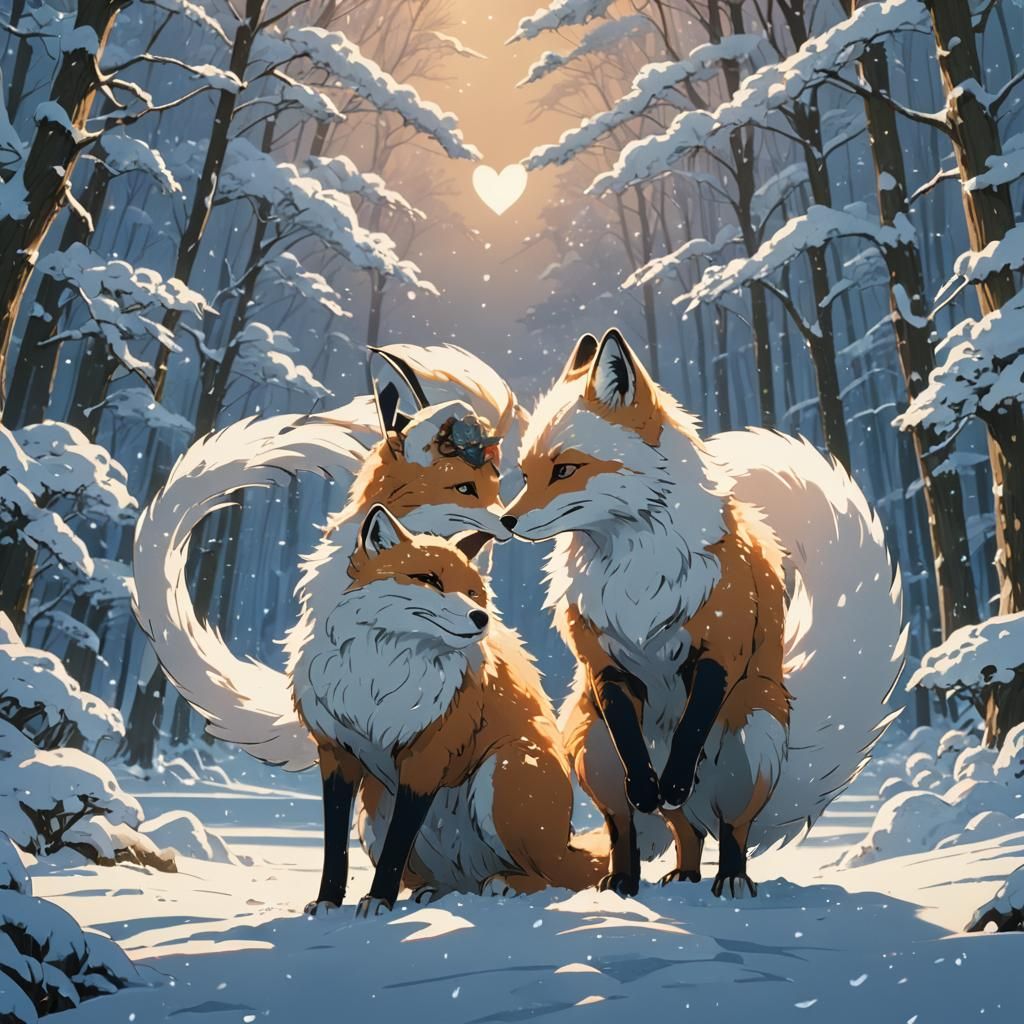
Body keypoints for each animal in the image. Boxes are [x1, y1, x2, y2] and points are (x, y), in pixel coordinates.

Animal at [292, 504, 605, 915]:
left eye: (474, 592)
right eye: (429, 579)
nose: (480, 618)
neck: (378, 676)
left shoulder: (427, 758)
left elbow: (396, 846)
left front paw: (378, 901)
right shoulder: (335, 753)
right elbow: (335, 844)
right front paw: (327, 902)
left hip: (504, 772)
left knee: (554, 878)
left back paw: (506, 883)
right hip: (372, 812)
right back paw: (435, 891)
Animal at [502, 328, 905, 898]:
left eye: (565, 469)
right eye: (525, 474)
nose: (504, 521)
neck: (637, 574)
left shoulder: (720, 652)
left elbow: (691, 727)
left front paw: (671, 780)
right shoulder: (605, 667)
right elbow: (633, 749)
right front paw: (650, 788)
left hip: (751, 741)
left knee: (729, 830)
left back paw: (728, 876)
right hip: (592, 749)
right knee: (655, 829)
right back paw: (636, 877)